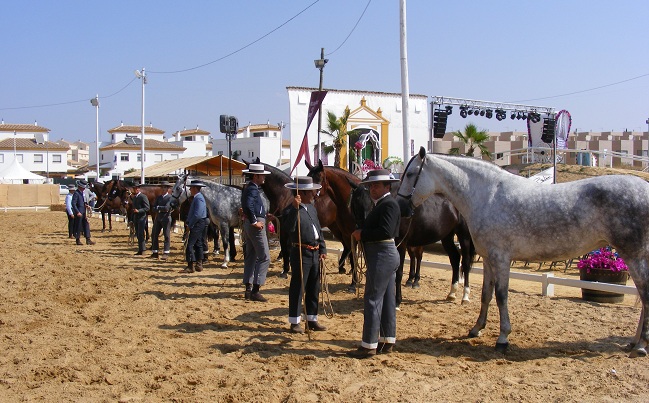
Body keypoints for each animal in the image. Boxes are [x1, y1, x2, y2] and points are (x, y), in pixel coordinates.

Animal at [398, 146, 649, 357]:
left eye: (410, 174)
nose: (402, 207)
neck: (487, 195)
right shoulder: (488, 259)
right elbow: (486, 295)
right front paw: (477, 328)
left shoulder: (501, 258)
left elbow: (501, 296)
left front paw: (502, 338)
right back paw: (634, 343)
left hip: (634, 256)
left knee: (645, 295)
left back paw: (641, 346)